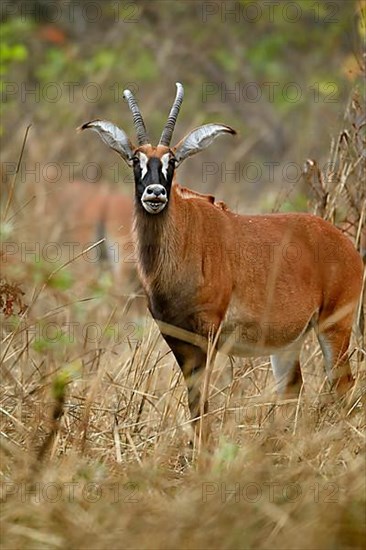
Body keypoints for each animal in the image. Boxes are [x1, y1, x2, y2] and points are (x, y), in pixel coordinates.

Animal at [78, 82, 364, 436]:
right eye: (135, 159)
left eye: (172, 160)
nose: (155, 193)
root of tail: (346, 245)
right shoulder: (176, 337)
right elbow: (193, 403)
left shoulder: (207, 334)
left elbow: (201, 402)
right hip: (288, 342)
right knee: (292, 388)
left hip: (334, 326)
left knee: (343, 386)